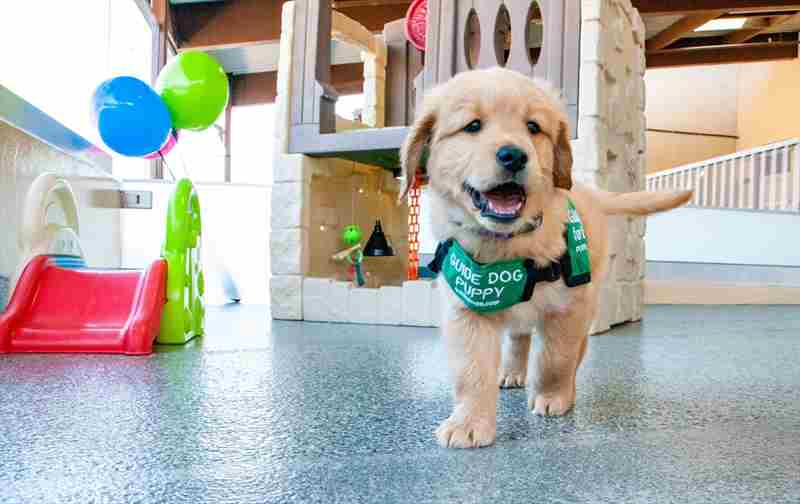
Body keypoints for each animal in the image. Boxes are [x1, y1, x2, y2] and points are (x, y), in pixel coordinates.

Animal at [404, 67, 692, 448]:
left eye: (533, 127)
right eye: (473, 126)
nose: (513, 155)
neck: (507, 247)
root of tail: (590, 193)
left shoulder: (569, 306)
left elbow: (557, 358)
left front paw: (553, 396)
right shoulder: (467, 308)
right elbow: (471, 370)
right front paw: (469, 422)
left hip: (588, 299)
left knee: (574, 350)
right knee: (519, 336)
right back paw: (511, 372)